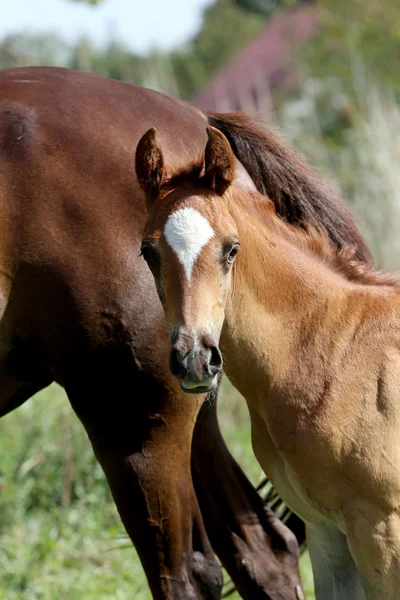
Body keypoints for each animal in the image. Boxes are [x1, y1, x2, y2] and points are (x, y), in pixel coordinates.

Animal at [0, 65, 314, 600]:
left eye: (231, 250)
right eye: (147, 252)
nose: (191, 356)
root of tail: (191, 114)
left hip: (138, 423)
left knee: (184, 576)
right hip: (190, 407)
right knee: (264, 549)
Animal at [138, 126, 400, 600]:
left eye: (231, 249)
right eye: (148, 252)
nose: (194, 360)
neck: (334, 349)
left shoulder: (381, 534)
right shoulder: (327, 531)